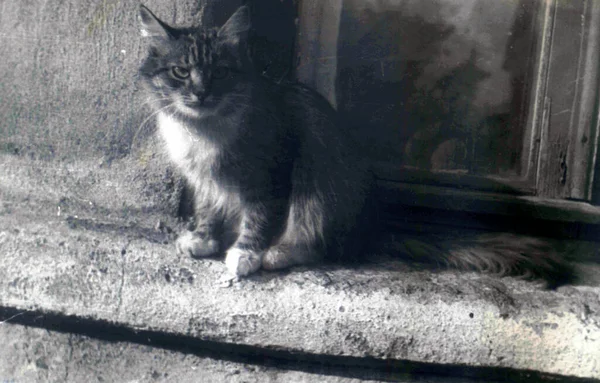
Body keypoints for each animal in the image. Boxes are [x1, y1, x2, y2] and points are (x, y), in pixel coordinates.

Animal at [137, 4, 376, 278]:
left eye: (220, 72)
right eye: (181, 72)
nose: (201, 93)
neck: (203, 132)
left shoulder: (269, 176)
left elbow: (259, 219)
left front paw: (245, 254)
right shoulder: (205, 181)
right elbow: (207, 210)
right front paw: (202, 239)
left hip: (323, 187)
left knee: (318, 245)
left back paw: (275, 254)